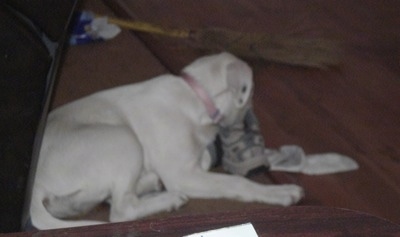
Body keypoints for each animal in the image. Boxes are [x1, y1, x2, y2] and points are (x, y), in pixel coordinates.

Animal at [29, 52, 304, 230]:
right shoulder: (182, 175)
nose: (251, 118)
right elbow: (237, 183)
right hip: (124, 140)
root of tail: (36, 186)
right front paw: (280, 192)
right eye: (252, 94)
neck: (194, 97)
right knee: (121, 211)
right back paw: (168, 199)